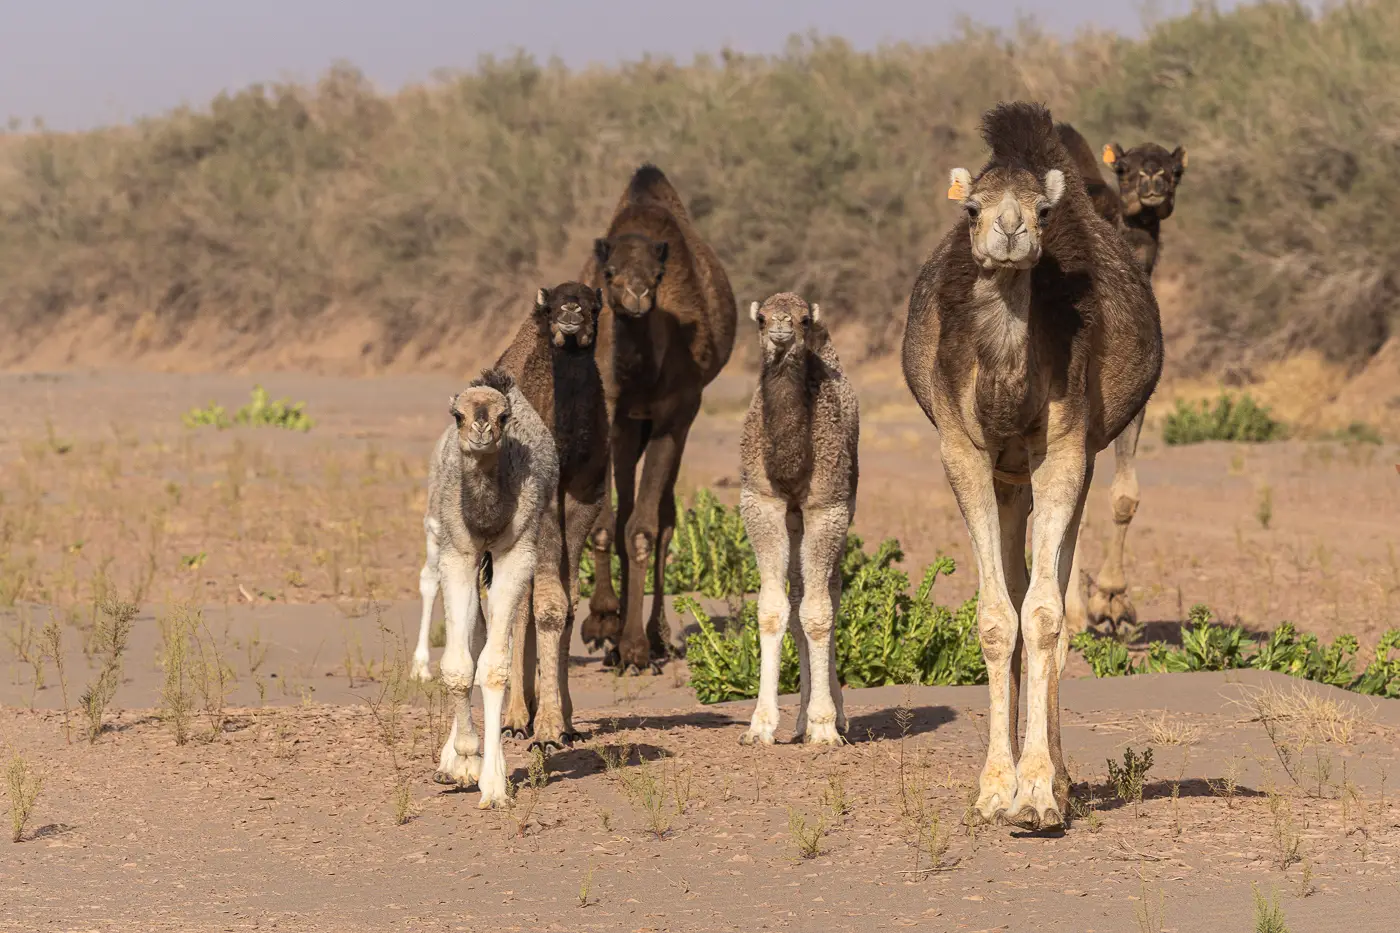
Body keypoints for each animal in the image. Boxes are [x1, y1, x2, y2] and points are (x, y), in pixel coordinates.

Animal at [421, 369, 558, 808]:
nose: (481, 429)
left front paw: (493, 784)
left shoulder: (516, 553)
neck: (485, 519)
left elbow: (494, 668)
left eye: (503, 417)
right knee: (469, 632)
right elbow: (458, 666)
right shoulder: (459, 553)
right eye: (458, 414)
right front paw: (464, 758)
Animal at [578, 164, 737, 674]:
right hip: (630, 424)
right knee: (628, 509)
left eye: (657, 273)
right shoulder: (610, 405)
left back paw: (655, 639)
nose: (637, 294)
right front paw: (602, 622)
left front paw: (632, 646)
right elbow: (606, 521)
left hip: (667, 422)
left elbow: (645, 529)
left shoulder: (678, 409)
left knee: (662, 520)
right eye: (609, 272)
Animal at [738, 294, 859, 747]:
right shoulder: (762, 501)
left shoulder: (828, 507)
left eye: (804, 318)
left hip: (846, 504)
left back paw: (830, 717)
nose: (781, 327)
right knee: (797, 595)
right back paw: (802, 719)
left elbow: (819, 613)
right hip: (792, 519)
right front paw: (760, 725)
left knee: (829, 592)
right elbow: (773, 610)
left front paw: (825, 727)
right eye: (760, 318)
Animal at [901, 102, 1162, 830]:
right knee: (1015, 590)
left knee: (1049, 598)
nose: (1012, 229)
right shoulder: (962, 449)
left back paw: (1063, 780)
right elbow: (998, 618)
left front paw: (1040, 792)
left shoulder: (1067, 445)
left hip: (1064, 464)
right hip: (1006, 476)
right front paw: (995, 788)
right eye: (972, 209)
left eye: (1044, 211)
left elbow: (1045, 615)